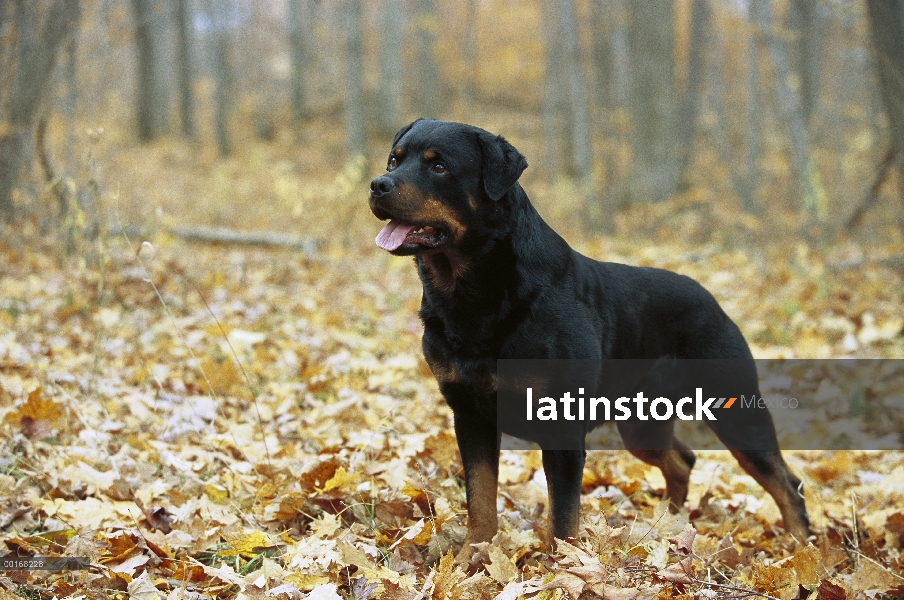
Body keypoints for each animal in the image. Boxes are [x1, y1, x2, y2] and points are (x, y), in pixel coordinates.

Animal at [370, 118, 812, 564]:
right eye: (394, 160)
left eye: (439, 166)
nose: (378, 184)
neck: (475, 292)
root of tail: (712, 300)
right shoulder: (470, 414)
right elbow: (480, 497)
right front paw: (470, 558)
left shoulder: (561, 428)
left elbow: (563, 516)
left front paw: (561, 567)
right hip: (641, 424)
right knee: (682, 460)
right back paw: (667, 526)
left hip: (735, 411)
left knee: (785, 482)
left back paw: (801, 549)